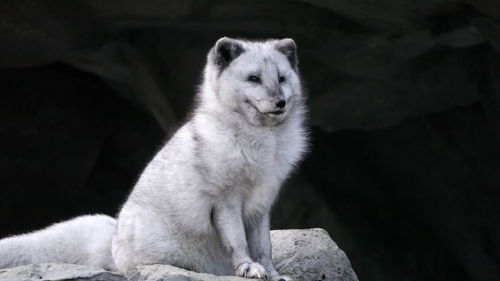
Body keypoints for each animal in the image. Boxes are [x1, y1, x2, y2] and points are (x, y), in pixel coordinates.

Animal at [0, 37, 306, 280]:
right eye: (254, 79)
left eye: (281, 78)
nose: (280, 102)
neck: (265, 144)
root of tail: (113, 240)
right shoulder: (226, 199)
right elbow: (239, 243)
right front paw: (248, 268)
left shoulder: (261, 204)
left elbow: (264, 247)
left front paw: (273, 274)